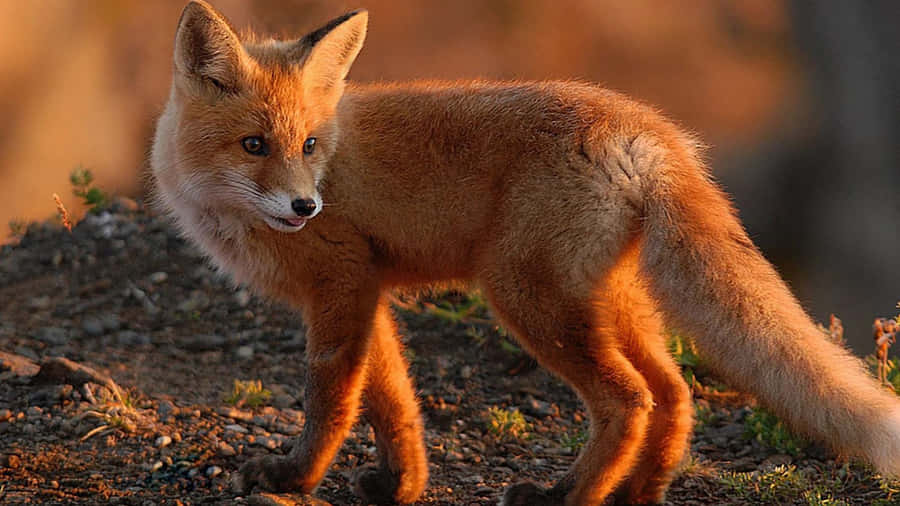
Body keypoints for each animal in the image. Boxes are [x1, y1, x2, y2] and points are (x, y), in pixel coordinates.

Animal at [150, 2, 900, 505]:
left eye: (308, 145)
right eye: (254, 145)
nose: (307, 208)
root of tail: (648, 128)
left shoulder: (341, 283)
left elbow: (331, 399)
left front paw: (295, 477)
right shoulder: (370, 292)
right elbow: (393, 402)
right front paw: (402, 482)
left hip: (525, 297)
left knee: (629, 400)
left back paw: (568, 495)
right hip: (610, 302)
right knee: (674, 391)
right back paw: (640, 491)